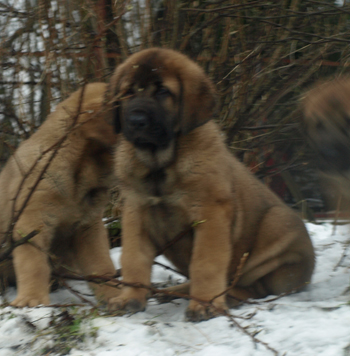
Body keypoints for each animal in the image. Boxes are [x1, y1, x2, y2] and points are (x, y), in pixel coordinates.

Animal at [0, 83, 120, 308]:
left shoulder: (88, 226)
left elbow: (101, 264)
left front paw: (114, 295)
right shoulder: (32, 222)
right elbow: (34, 263)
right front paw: (32, 300)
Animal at [106, 48, 314, 322]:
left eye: (163, 92)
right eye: (128, 92)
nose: (136, 120)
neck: (160, 164)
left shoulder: (210, 215)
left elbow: (206, 264)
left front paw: (205, 304)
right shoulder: (136, 212)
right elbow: (133, 258)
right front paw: (129, 298)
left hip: (276, 224)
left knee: (254, 288)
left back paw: (226, 297)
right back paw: (175, 291)